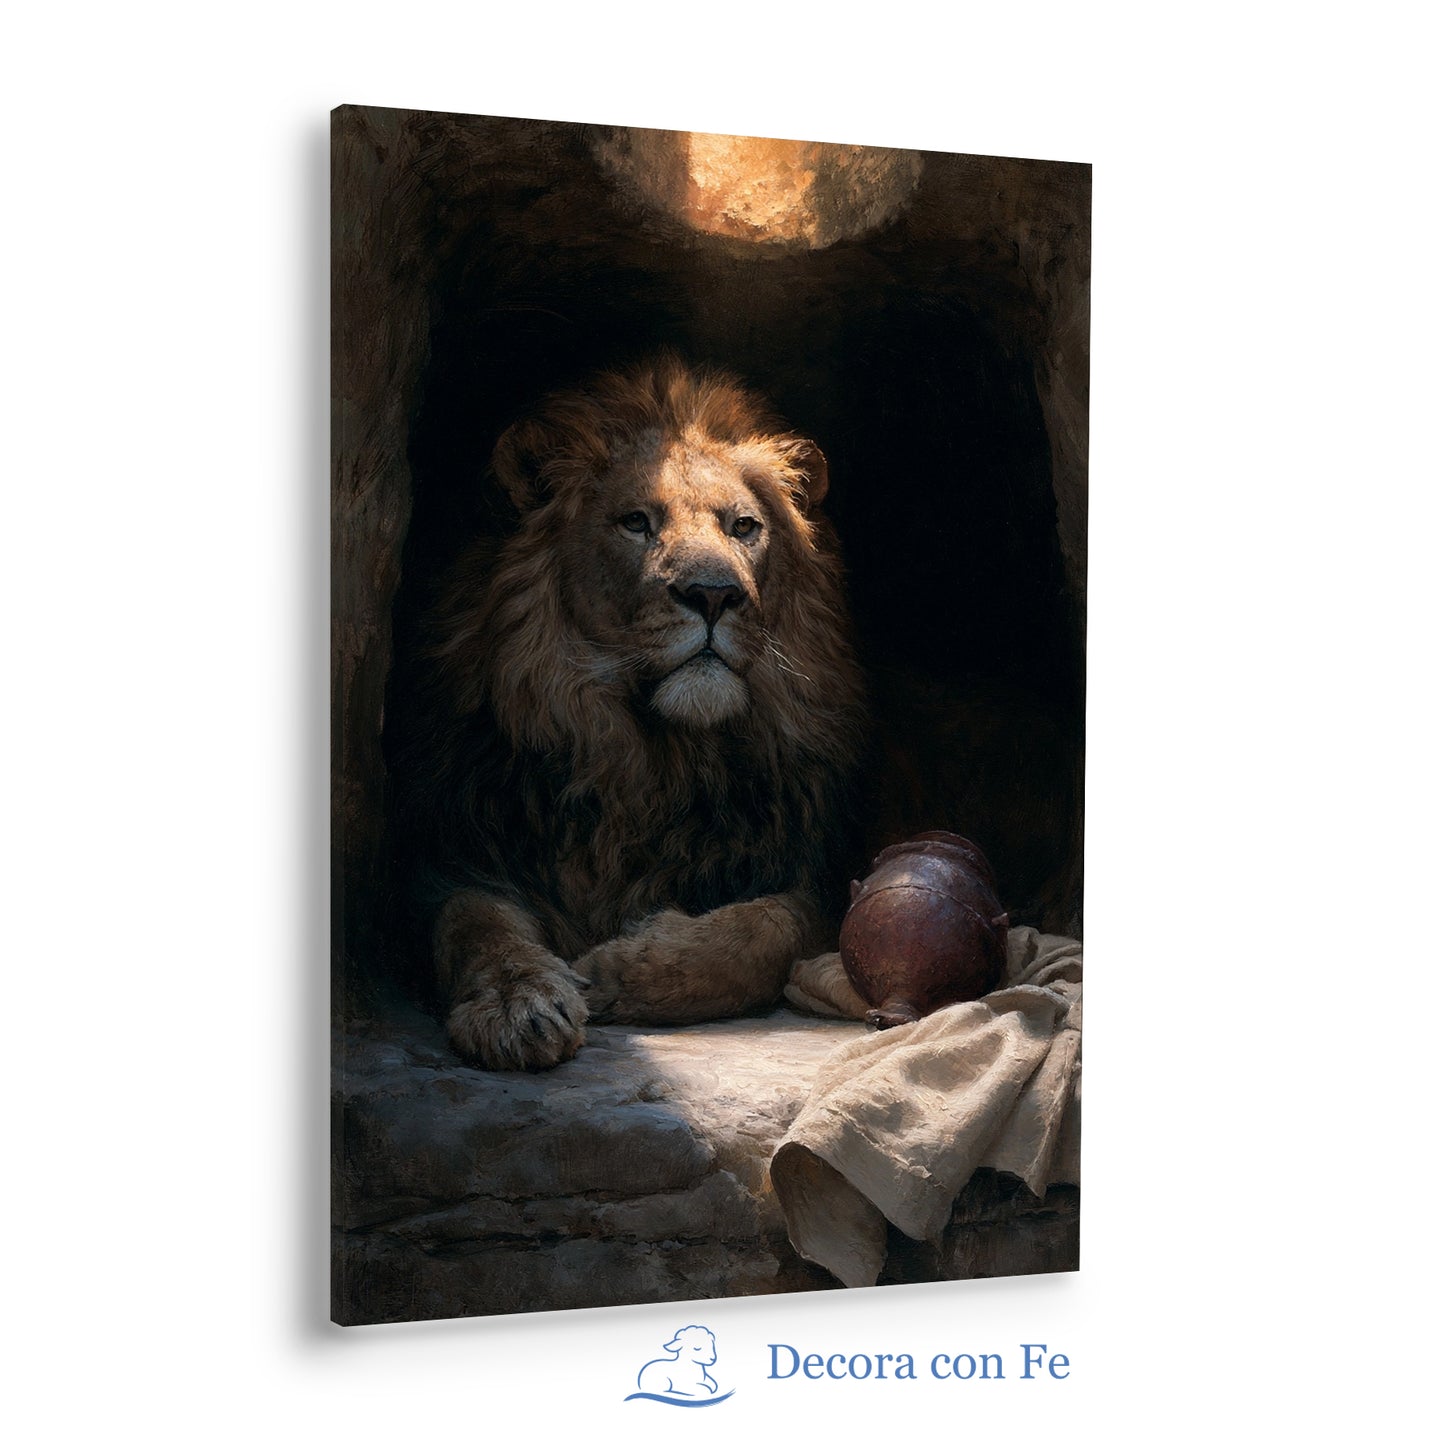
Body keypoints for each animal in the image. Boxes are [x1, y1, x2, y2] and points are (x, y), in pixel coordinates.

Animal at [393, 356, 868, 1071]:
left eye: (743, 528)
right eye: (637, 523)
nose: (714, 595)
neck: (649, 766)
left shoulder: (814, 868)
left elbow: (768, 932)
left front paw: (619, 972)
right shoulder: (450, 857)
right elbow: (472, 923)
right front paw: (519, 1004)